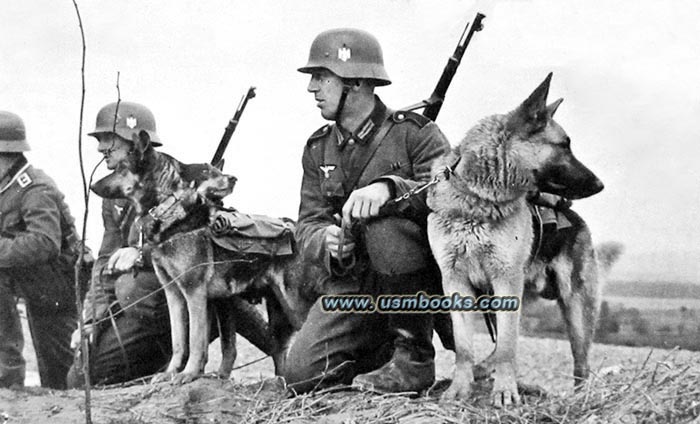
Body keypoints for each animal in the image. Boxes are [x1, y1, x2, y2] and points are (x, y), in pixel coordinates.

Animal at [90, 132, 320, 384]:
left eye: (121, 168)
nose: (92, 185)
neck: (167, 209)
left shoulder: (194, 294)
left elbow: (195, 340)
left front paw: (188, 373)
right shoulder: (175, 295)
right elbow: (179, 340)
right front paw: (172, 373)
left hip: (294, 304)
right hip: (276, 309)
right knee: (278, 348)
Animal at [426, 73, 608, 408]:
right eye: (564, 145)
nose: (601, 184)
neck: (477, 198)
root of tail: (576, 219)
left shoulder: (507, 279)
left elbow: (509, 345)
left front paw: (505, 392)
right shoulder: (455, 281)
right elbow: (464, 346)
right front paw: (459, 390)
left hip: (577, 309)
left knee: (581, 364)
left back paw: (579, 401)